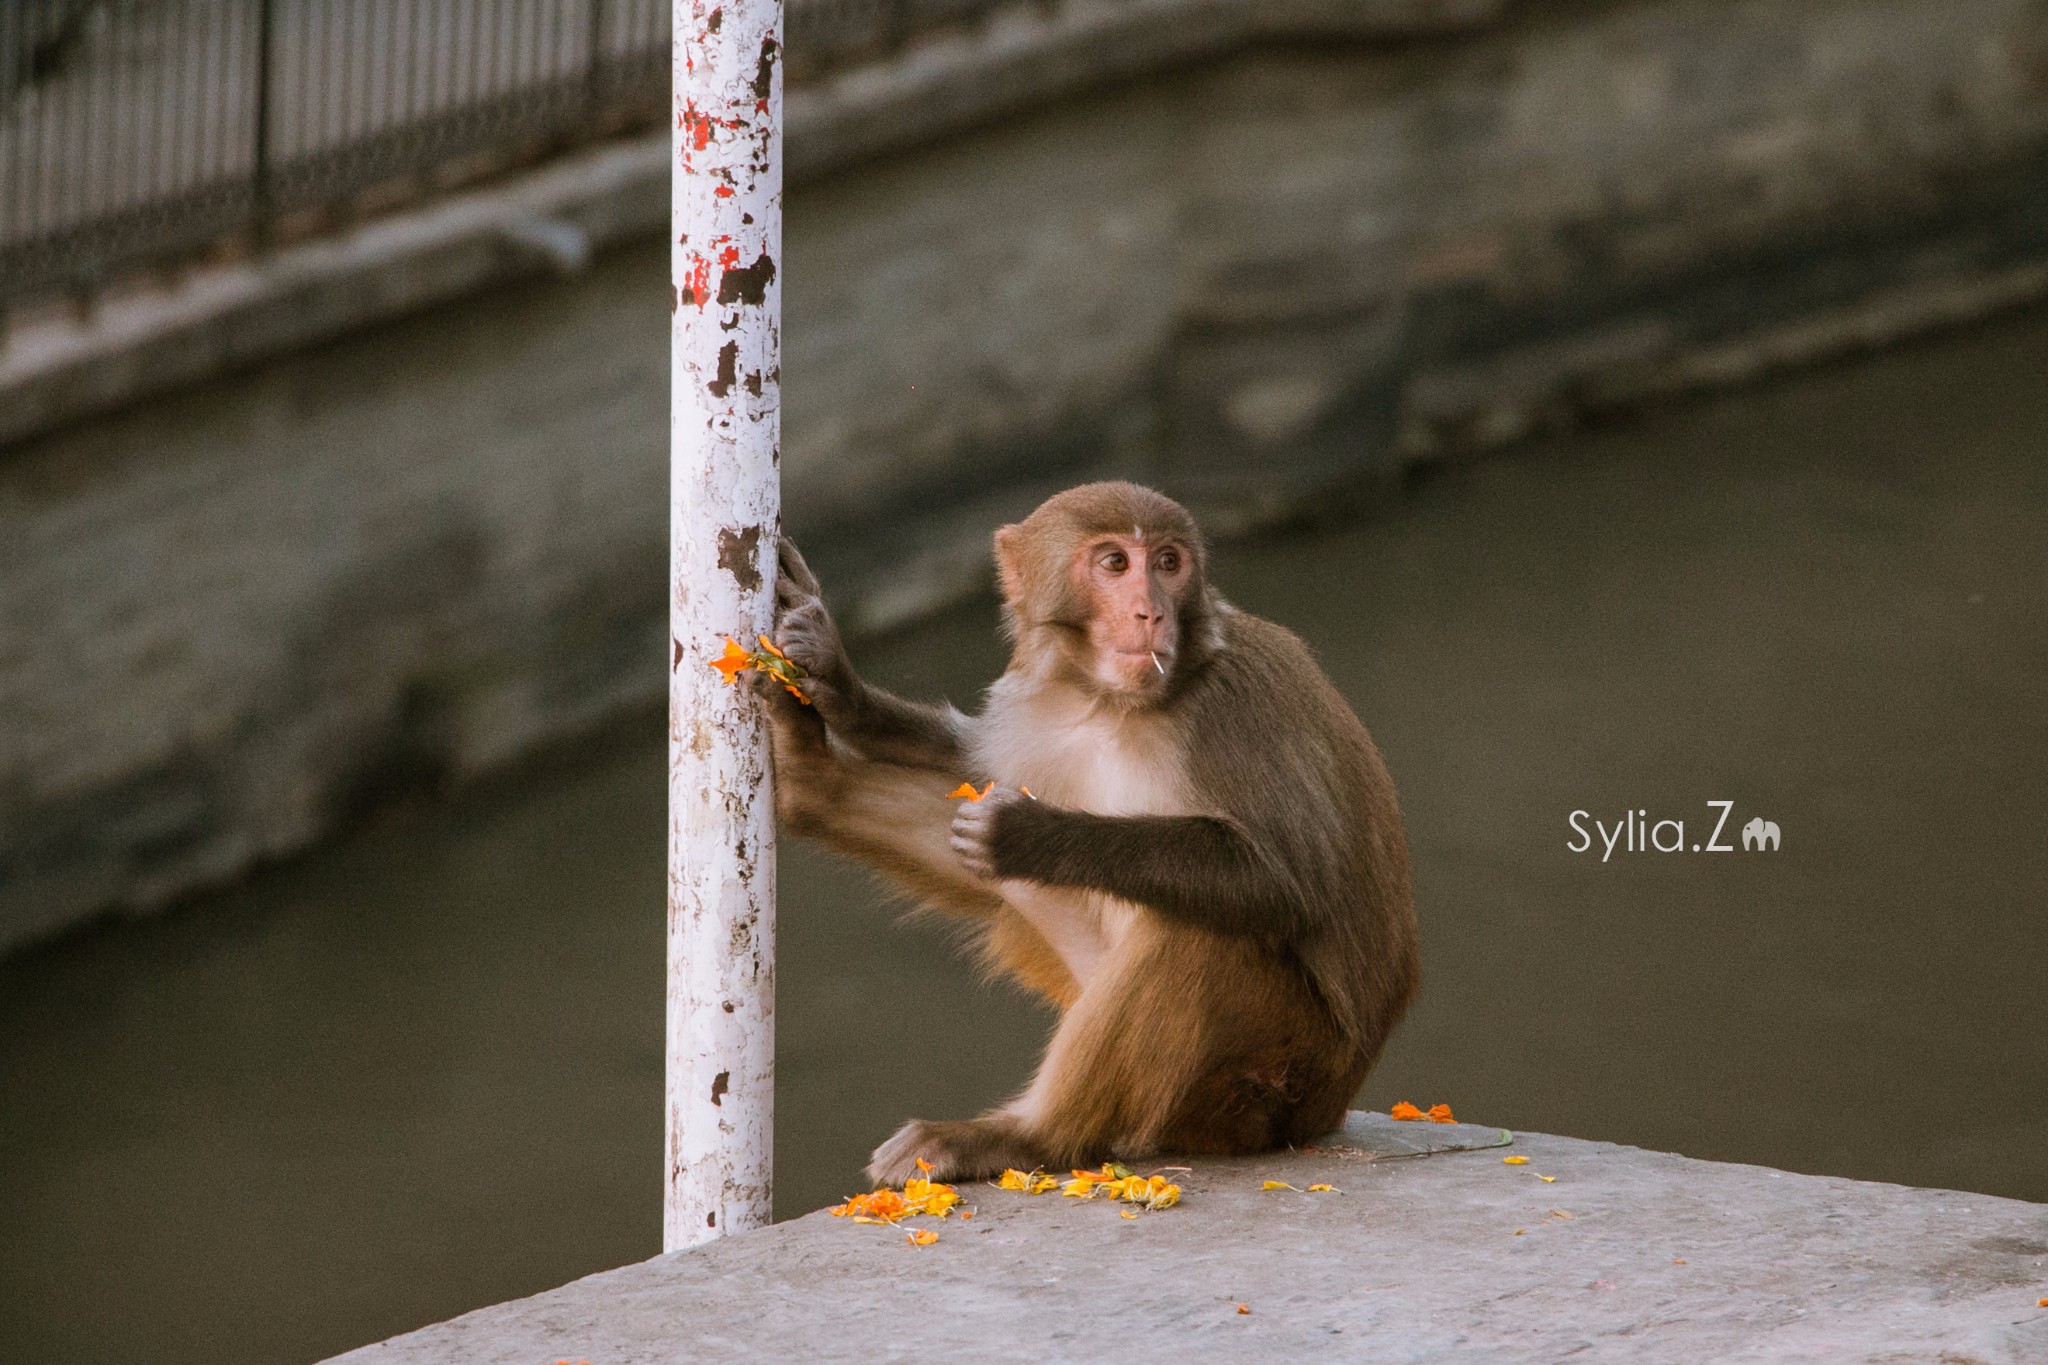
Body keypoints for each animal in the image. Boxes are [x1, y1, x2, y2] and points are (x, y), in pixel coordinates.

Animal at [757, 480, 1425, 1186]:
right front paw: (837, 684)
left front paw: (1028, 834)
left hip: (1268, 1084)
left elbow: (1289, 884)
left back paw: (1026, 1137)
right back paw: (809, 778)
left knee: (1195, 931)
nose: (1150, 614)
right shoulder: (1040, 704)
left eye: (1168, 563)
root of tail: (1327, 1110)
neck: (1111, 703)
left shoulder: (1233, 710)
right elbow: (975, 763)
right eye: (1114, 564)